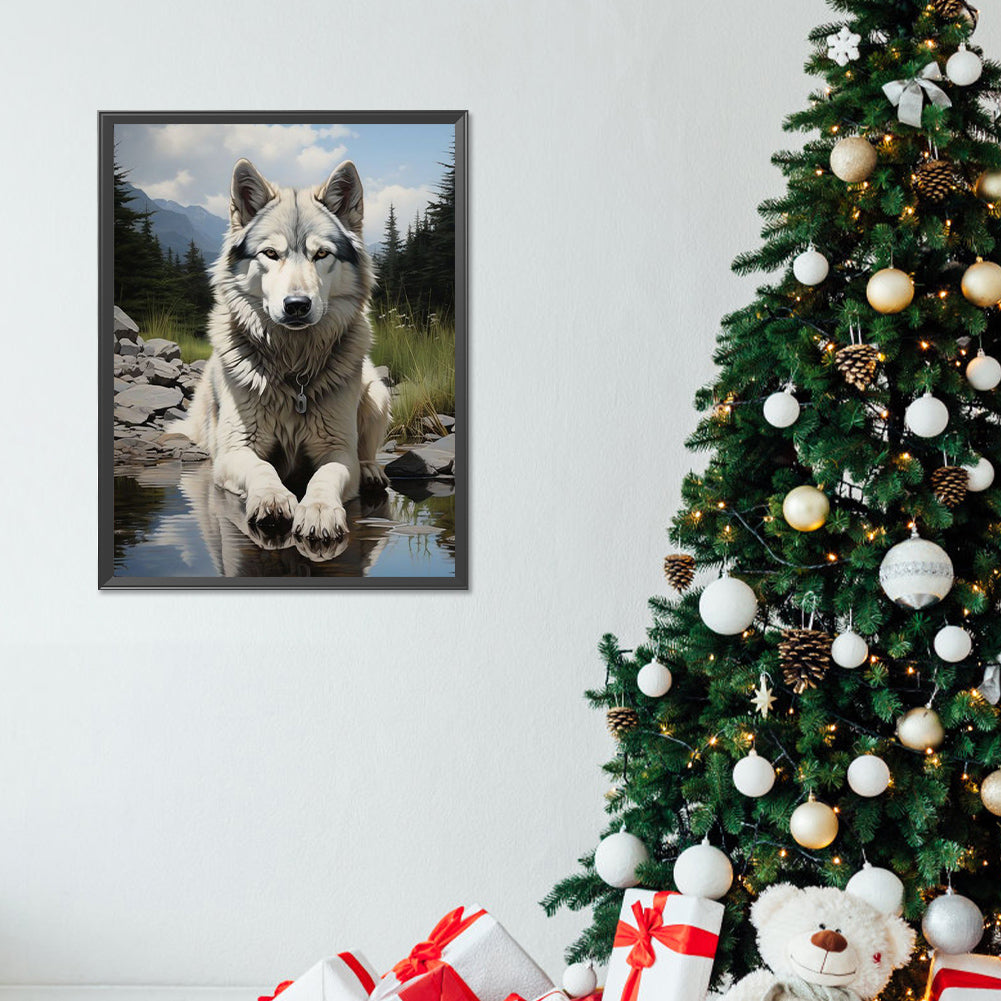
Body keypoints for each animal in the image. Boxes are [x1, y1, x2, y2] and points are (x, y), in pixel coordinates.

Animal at [176, 157, 390, 547]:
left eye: (321, 254)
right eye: (270, 254)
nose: (296, 306)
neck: (293, 369)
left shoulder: (337, 450)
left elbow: (327, 475)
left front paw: (318, 510)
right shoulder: (236, 451)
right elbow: (261, 467)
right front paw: (273, 498)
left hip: (376, 391)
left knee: (366, 449)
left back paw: (371, 471)